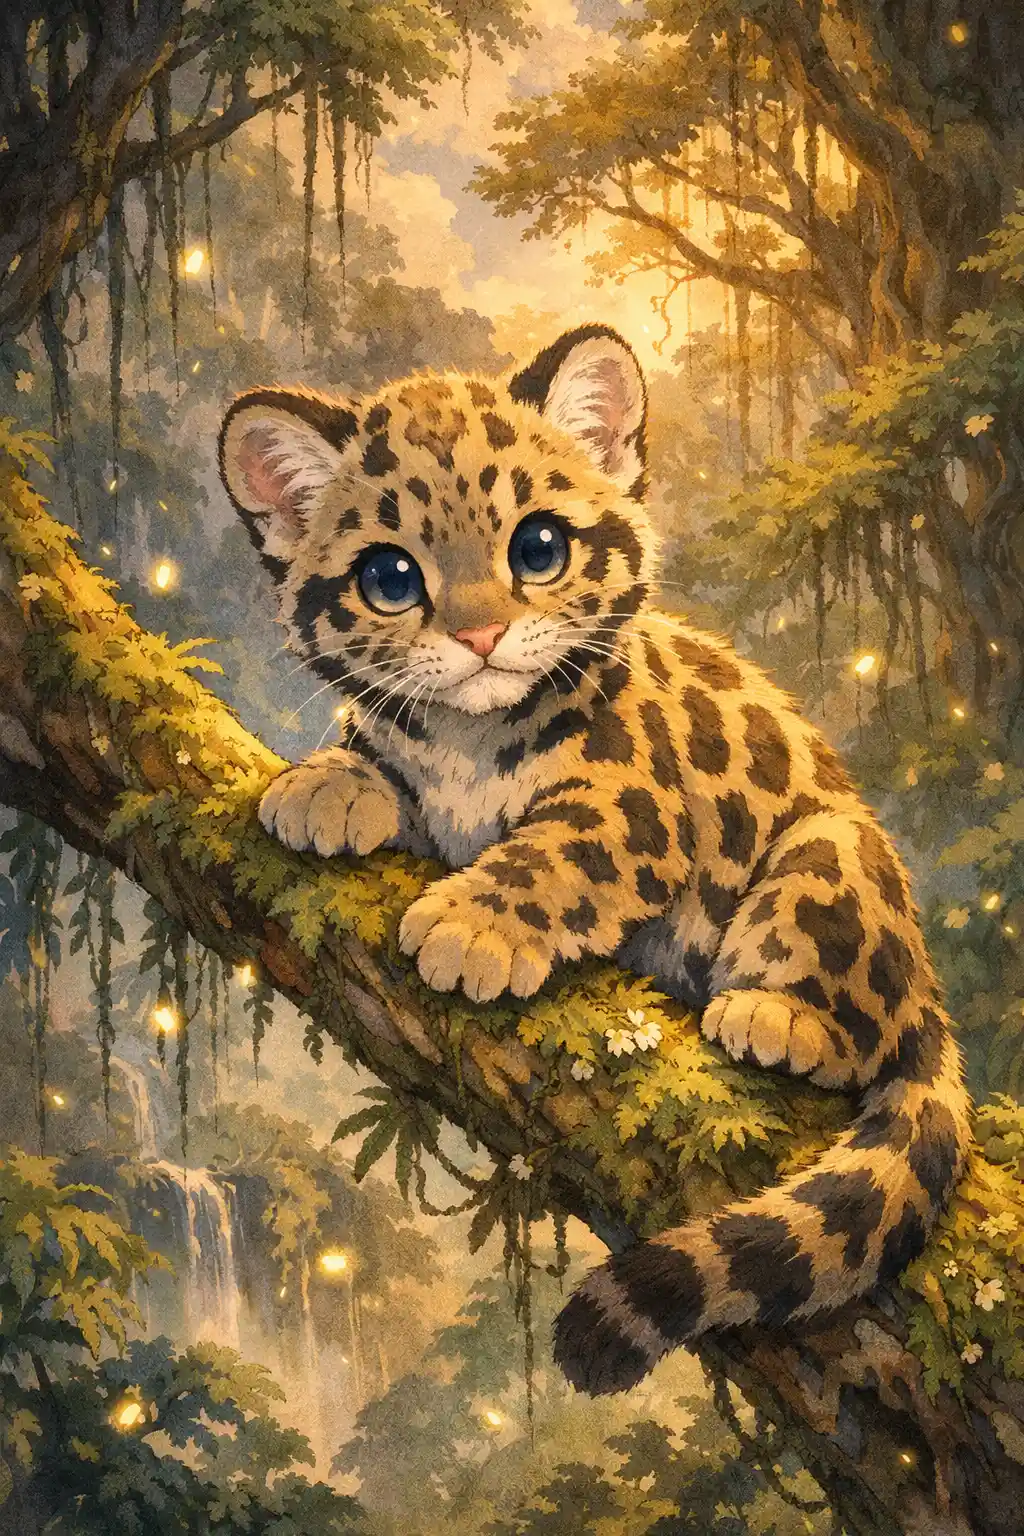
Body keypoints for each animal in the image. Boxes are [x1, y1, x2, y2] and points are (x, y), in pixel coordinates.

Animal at [218, 323, 972, 1396]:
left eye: (538, 547)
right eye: (391, 578)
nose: (480, 635)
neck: (468, 739)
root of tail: (932, 1002)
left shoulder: (631, 807)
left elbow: (549, 854)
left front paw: (468, 926)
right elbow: (389, 763)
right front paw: (329, 783)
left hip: (836, 852)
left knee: (859, 1022)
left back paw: (776, 1017)